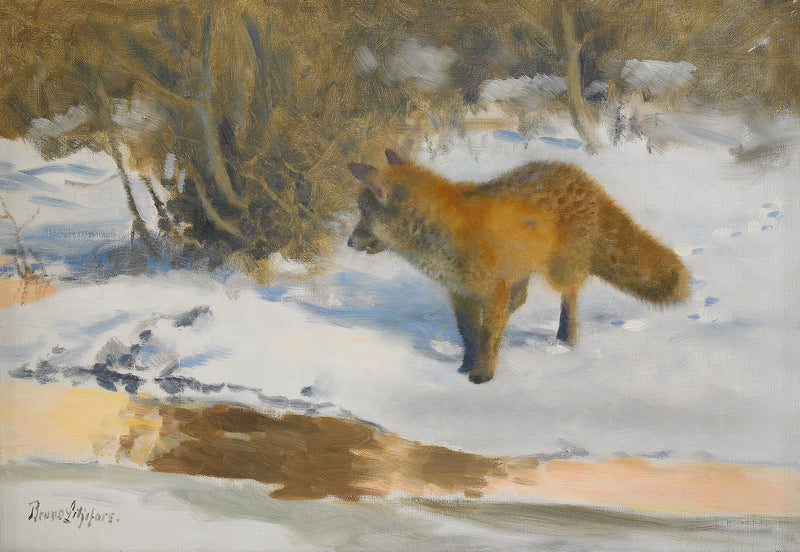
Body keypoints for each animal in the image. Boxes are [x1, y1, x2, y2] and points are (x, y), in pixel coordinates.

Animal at [347, 149, 690, 383]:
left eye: (363, 213)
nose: (349, 242)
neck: (444, 232)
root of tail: (582, 177)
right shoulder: (462, 293)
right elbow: (470, 334)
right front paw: (466, 364)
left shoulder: (491, 289)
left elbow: (487, 334)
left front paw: (483, 373)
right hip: (522, 270)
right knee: (521, 299)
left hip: (559, 269)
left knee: (570, 297)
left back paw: (566, 339)